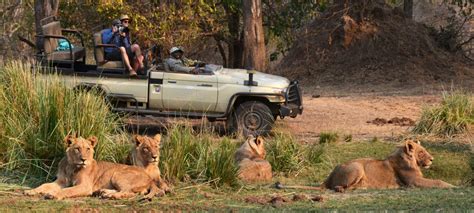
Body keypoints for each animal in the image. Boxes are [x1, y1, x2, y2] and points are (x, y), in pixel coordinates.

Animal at [23, 135, 161, 200]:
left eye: (88, 149)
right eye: (77, 149)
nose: (83, 159)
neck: (72, 167)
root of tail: (149, 178)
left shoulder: (85, 186)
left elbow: (68, 190)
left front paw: (53, 195)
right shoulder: (61, 181)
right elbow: (44, 185)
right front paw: (31, 191)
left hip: (117, 174)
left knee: (129, 192)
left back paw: (111, 196)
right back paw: (102, 192)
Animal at [278, 140, 456, 191]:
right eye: (421, 152)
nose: (432, 159)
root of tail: (329, 176)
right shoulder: (413, 182)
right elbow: (438, 181)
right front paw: (453, 186)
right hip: (357, 167)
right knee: (338, 187)